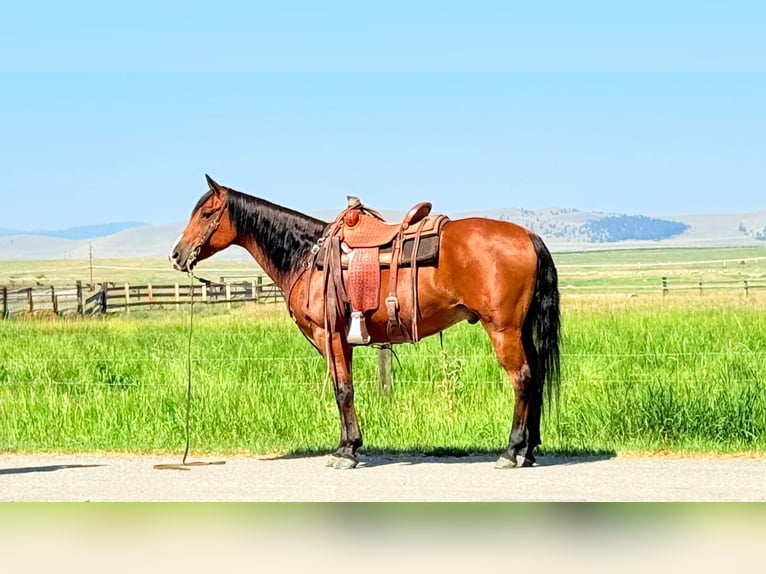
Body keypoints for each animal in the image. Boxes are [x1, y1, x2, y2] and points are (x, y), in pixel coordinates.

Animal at [170, 175, 561, 469]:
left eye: (207, 213)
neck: (308, 256)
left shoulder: (329, 335)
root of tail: (528, 237)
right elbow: (345, 388)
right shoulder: (344, 339)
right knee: (537, 375)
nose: (176, 254)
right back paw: (528, 451)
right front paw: (350, 445)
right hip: (520, 330)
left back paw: (511, 451)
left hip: (503, 330)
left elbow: (342, 389)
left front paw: (345, 451)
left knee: (523, 379)